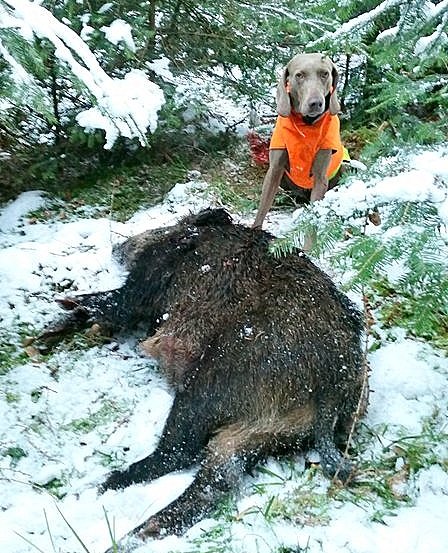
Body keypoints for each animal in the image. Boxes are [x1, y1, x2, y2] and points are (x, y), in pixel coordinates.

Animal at [252, 52, 344, 227]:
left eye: (325, 74)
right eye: (299, 75)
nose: (315, 103)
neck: (306, 125)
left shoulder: (320, 177)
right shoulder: (275, 169)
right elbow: (262, 209)